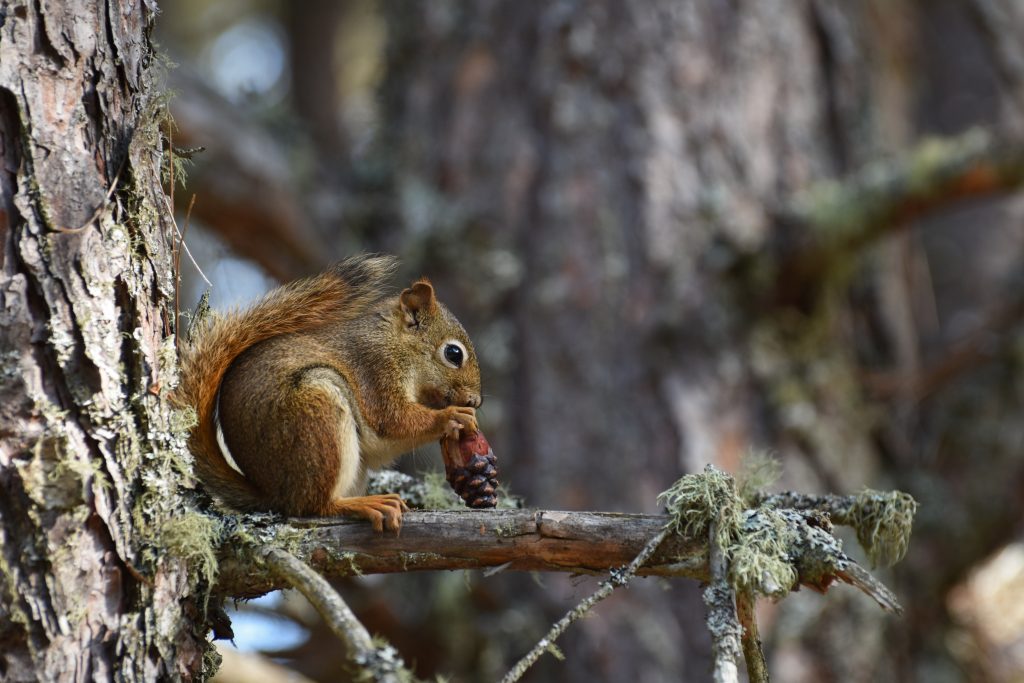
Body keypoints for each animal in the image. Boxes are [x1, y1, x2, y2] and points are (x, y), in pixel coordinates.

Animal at [176, 255, 482, 532]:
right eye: (453, 354)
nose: (475, 401)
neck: (396, 342)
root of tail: (273, 495)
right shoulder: (375, 369)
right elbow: (393, 420)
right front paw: (452, 417)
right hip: (317, 417)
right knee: (314, 505)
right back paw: (364, 504)